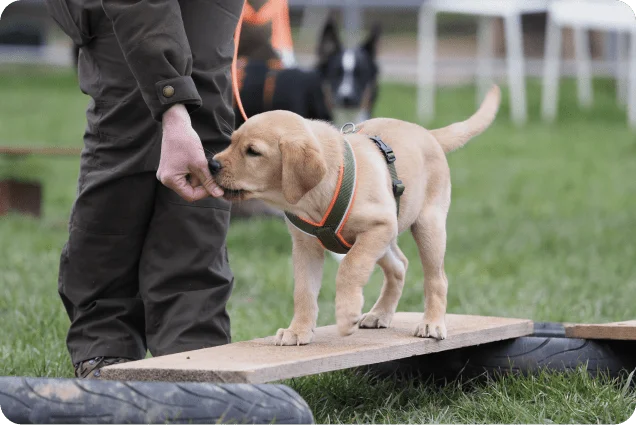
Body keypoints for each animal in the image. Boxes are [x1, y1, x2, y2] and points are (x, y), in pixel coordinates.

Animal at [212, 84, 502, 342]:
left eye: (253, 152)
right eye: (232, 142)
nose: (212, 164)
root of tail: (427, 133)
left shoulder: (378, 227)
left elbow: (350, 268)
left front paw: (346, 314)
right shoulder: (306, 247)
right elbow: (304, 291)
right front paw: (299, 331)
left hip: (427, 226)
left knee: (436, 278)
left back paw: (432, 323)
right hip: (387, 237)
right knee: (399, 265)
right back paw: (380, 314)